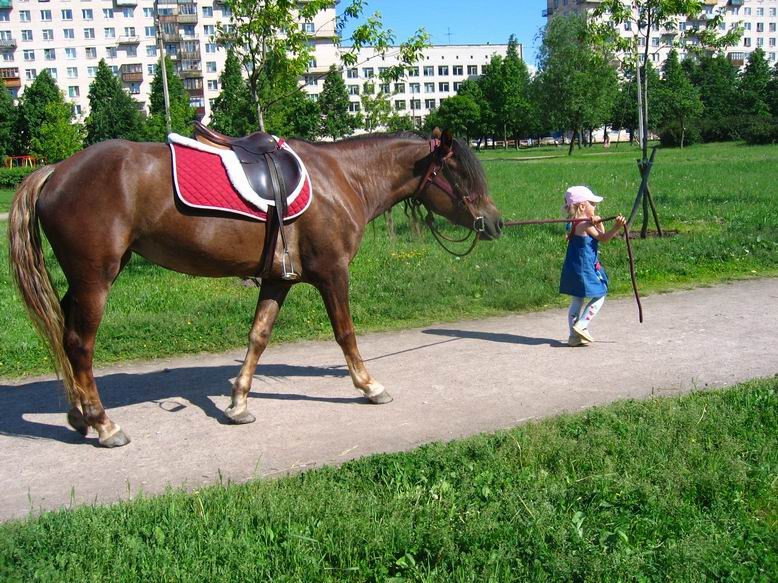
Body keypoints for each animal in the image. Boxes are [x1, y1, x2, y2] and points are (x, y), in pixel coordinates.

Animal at [8, 129, 503, 447]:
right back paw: (104, 425)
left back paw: (78, 415)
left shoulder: (277, 278)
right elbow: (345, 334)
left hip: (82, 282)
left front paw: (239, 402)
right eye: (462, 176)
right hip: (96, 279)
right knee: (79, 344)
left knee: (65, 337)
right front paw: (369, 385)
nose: (496, 223)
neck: (343, 178)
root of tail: (55, 170)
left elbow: (258, 336)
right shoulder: (332, 273)